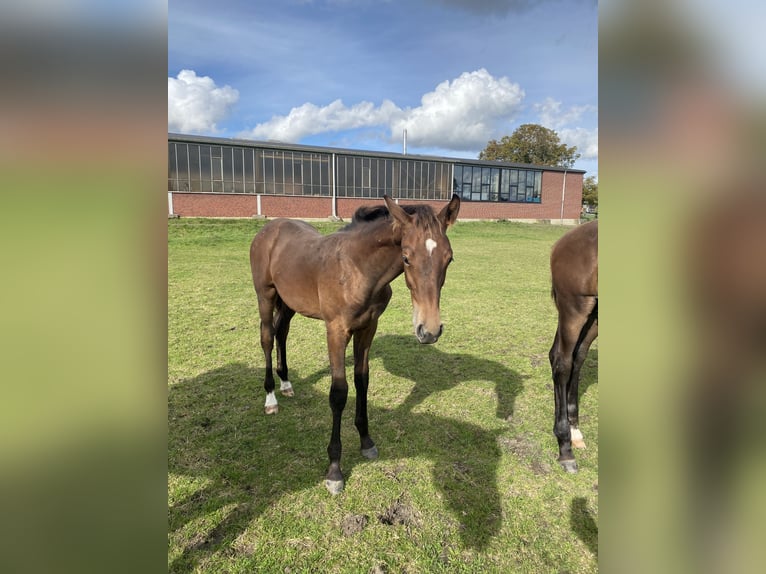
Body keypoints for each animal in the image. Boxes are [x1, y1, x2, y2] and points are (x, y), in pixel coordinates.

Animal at [250, 195, 462, 496]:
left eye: (449, 258)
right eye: (406, 257)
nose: (429, 331)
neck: (357, 270)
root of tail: (270, 228)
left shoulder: (368, 328)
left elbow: (363, 381)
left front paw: (366, 441)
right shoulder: (336, 331)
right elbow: (339, 393)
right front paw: (334, 470)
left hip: (290, 301)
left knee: (282, 333)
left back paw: (287, 384)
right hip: (265, 295)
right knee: (268, 337)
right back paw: (271, 398)